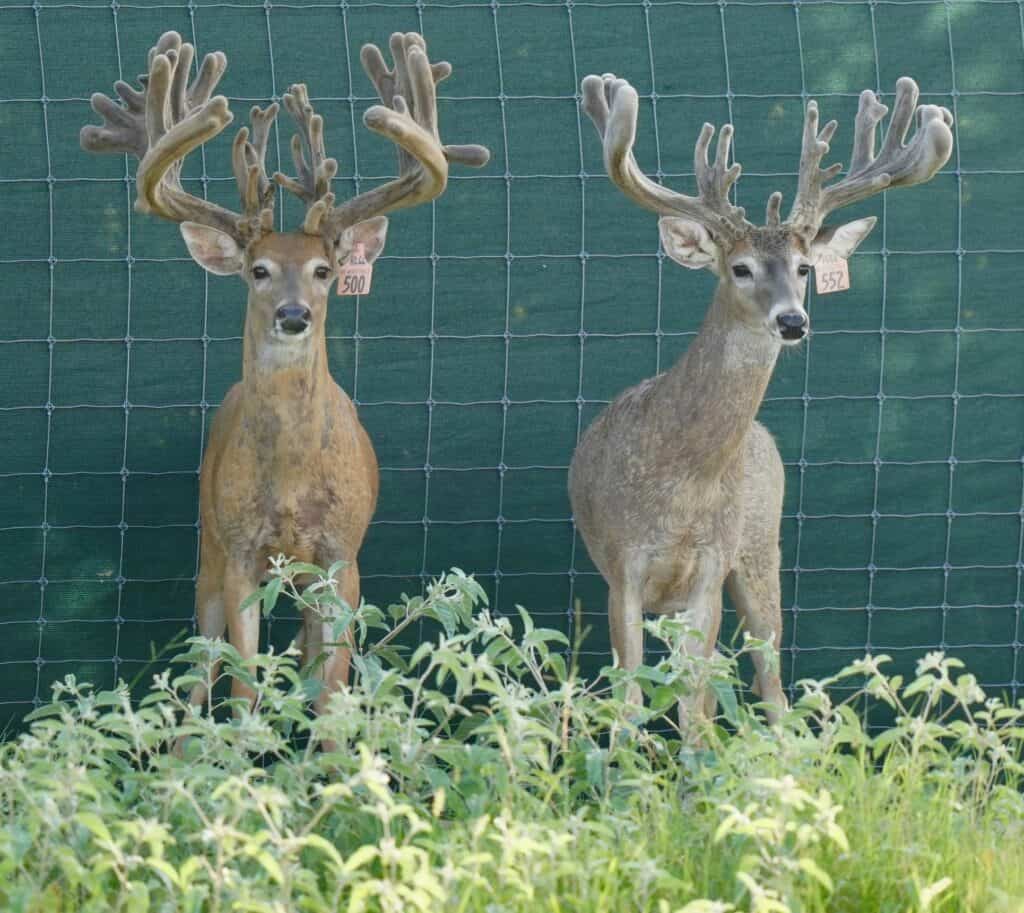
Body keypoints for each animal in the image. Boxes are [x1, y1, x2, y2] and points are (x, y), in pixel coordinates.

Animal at [80, 31, 489, 715]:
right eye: (259, 270)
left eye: (324, 271)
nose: (294, 315)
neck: (294, 486)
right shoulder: (241, 551)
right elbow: (243, 682)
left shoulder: (343, 555)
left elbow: (332, 689)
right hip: (209, 547)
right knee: (202, 668)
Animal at [569, 73, 953, 732]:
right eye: (741, 268)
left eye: (803, 268)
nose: (793, 321)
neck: (682, 491)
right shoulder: (622, 566)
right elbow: (632, 701)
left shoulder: (710, 568)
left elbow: (695, 705)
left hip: (759, 551)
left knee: (771, 686)